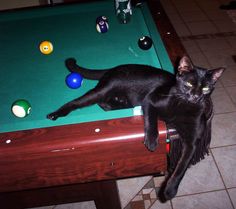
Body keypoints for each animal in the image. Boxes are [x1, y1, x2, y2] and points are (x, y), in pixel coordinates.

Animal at [46, 56, 225, 201]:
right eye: (189, 83)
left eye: (206, 89)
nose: (196, 96)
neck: (184, 106)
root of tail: (114, 68)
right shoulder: (150, 101)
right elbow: (151, 121)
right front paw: (152, 141)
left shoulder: (191, 141)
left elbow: (182, 167)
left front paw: (170, 190)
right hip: (102, 90)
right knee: (80, 102)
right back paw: (55, 114)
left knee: (104, 103)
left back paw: (120, 103)